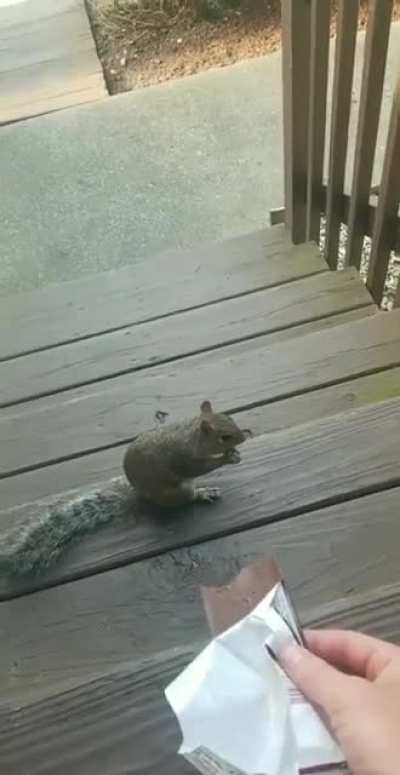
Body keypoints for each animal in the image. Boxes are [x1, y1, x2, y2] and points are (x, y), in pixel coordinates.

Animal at [0, 401, 252, 577]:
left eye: (230, 417)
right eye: (224, 437)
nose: (241, 437)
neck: (191, 434)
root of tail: (140, 497)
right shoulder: (183, 458)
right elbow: (199, 467)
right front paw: (227, 457)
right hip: (177, 490)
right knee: (187, 497)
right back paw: (202, 494)